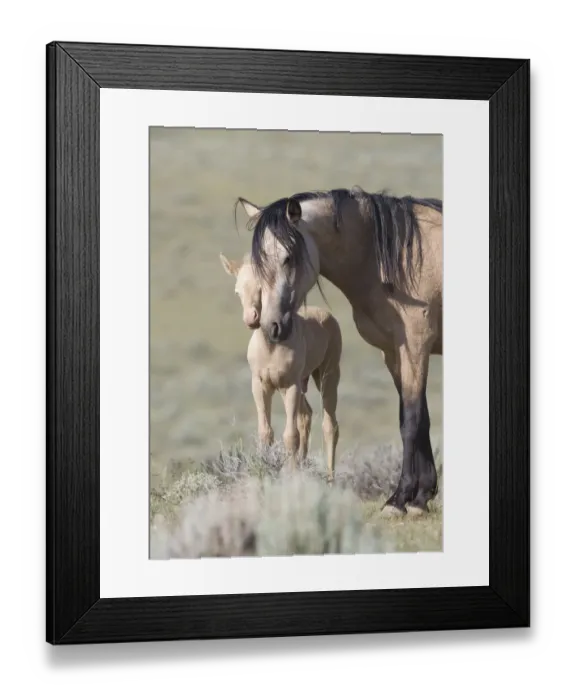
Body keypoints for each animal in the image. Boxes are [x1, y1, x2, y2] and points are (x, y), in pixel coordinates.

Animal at [219, 252, 342, 480]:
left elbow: (290, 436)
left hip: (327, 375)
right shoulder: (261, 385)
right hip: (302, 382)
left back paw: (330, 478)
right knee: (306, 416)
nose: (250, 319)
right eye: (237, 290)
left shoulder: (289, 385)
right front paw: (265, 473)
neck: (271, 348)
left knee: (330, 425)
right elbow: (266, 433)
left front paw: (291, 477)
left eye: (261, 287)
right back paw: (303, 465)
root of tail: (328, 316)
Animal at [235, 186, 443, 517]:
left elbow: (411, 420)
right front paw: (420, 496)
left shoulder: (415, 346)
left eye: (288, 257)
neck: (397, 258)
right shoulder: (393, 352)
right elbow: (416, 417)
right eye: (257, 264)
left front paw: (400, 500)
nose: (271, 327)